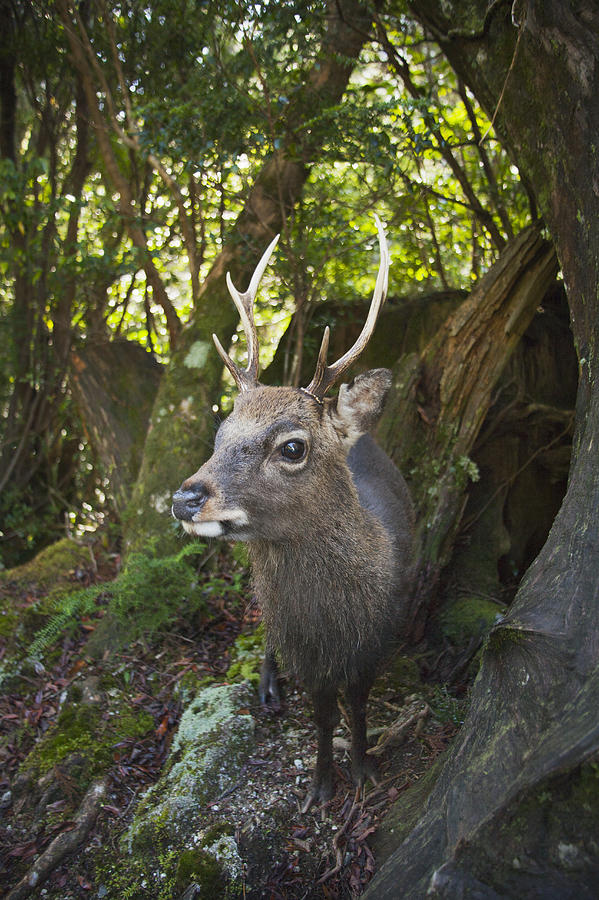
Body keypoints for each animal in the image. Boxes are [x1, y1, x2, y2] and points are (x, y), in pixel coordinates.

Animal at [171, 218, 414, 808]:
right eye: (220, 431)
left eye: (292, 446)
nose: (185, 498)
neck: (332, 621)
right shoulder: (306, 654)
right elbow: (323, 716)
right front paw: (322, 788)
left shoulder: (378, 636)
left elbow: (360, 705)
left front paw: (364, 769)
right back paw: (266, 687)